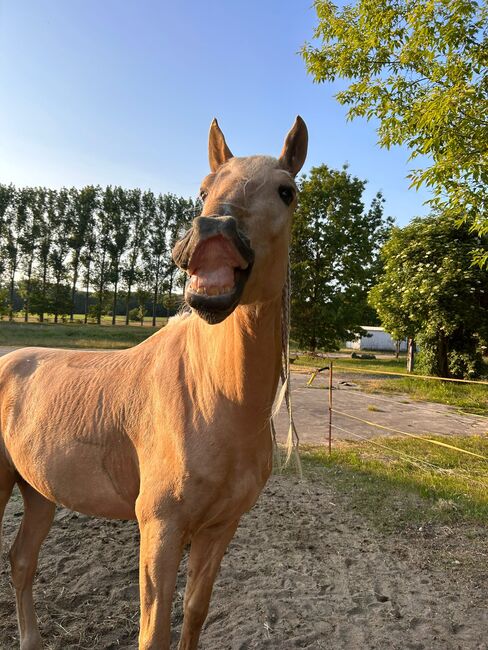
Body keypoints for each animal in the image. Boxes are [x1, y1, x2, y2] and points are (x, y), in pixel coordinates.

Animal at [0, 117, 306, 648]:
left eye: (286, 192)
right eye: (204, 189)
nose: (214, 233)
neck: (213, 399)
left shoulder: (219, 529)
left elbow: (195, 612)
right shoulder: (160, 529)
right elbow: (154, 631)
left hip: (38, 491)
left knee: (22, 561)